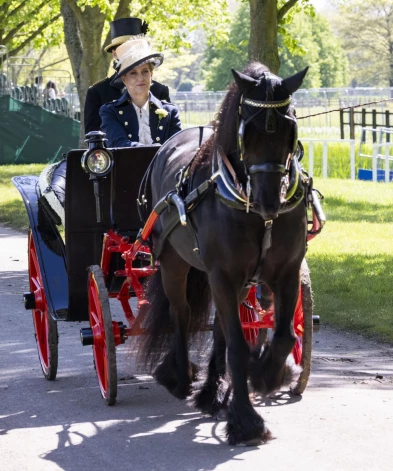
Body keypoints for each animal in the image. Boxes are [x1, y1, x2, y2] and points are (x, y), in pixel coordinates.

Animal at [139, 61, 308, 446]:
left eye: (290, 126)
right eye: (248, 131)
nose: (269, 201)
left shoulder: (286, 272)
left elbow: (284, 336)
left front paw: (267, 375)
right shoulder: (222, 274)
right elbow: (238, 347)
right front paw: (246, 421)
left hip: (237, 282)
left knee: (218, 328)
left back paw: (212, 392)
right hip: (174, 264)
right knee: (181, 314)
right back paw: (180, 376)